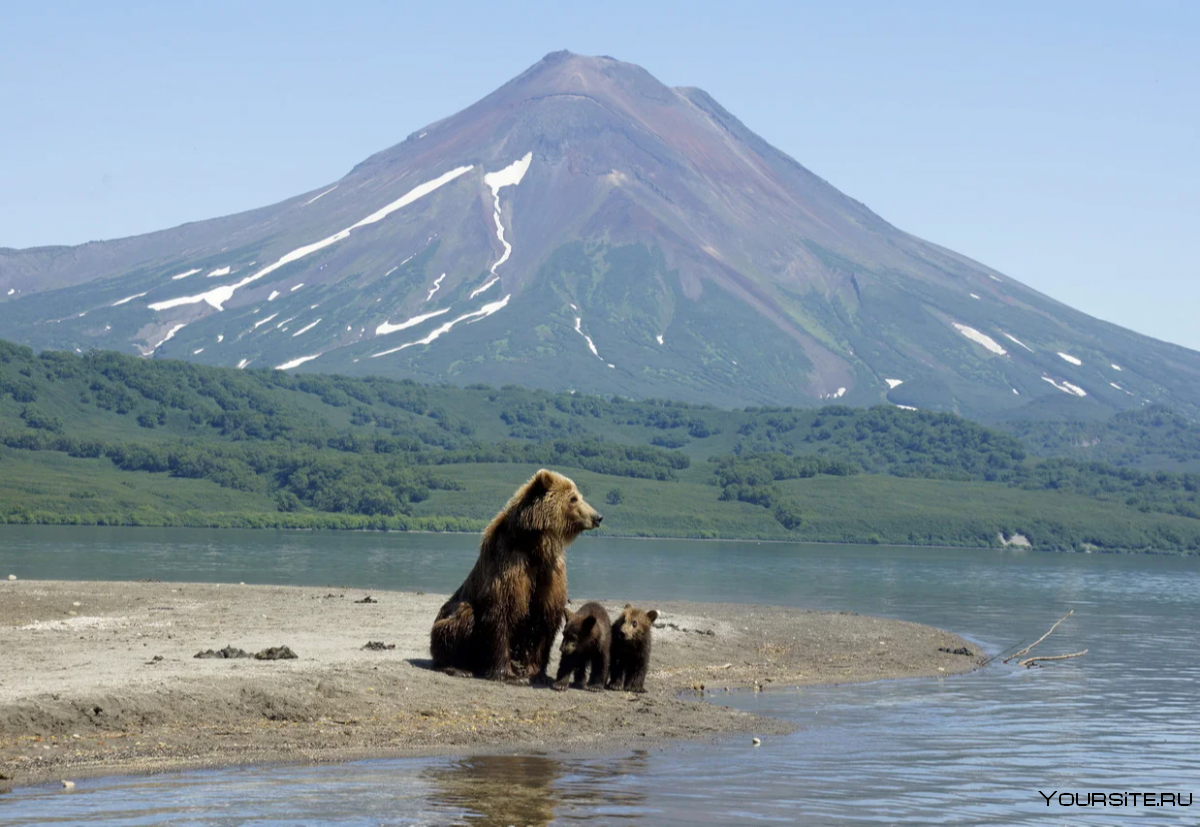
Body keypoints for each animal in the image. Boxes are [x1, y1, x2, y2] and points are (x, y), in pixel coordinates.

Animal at [429, 468, 600, 681]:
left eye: (579, 497)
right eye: (573, 498)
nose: (598, 517)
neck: (535, 545)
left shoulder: (550, 572)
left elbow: (546, 618)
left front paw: (536, 672)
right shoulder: (511, 565)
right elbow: (502, 611)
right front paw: (505, 673)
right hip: (446, 620)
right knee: (461, 618)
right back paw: (459, 667)